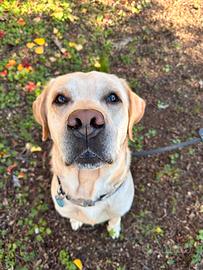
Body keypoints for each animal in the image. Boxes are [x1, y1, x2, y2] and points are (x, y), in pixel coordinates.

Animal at [32, 70, 145, 237]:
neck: (88, 184)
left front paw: (114, 228)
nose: (85, 121)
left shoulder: (120, 207)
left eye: (113, 98)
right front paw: (75, 221)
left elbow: (115, 217)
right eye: (60, 99)